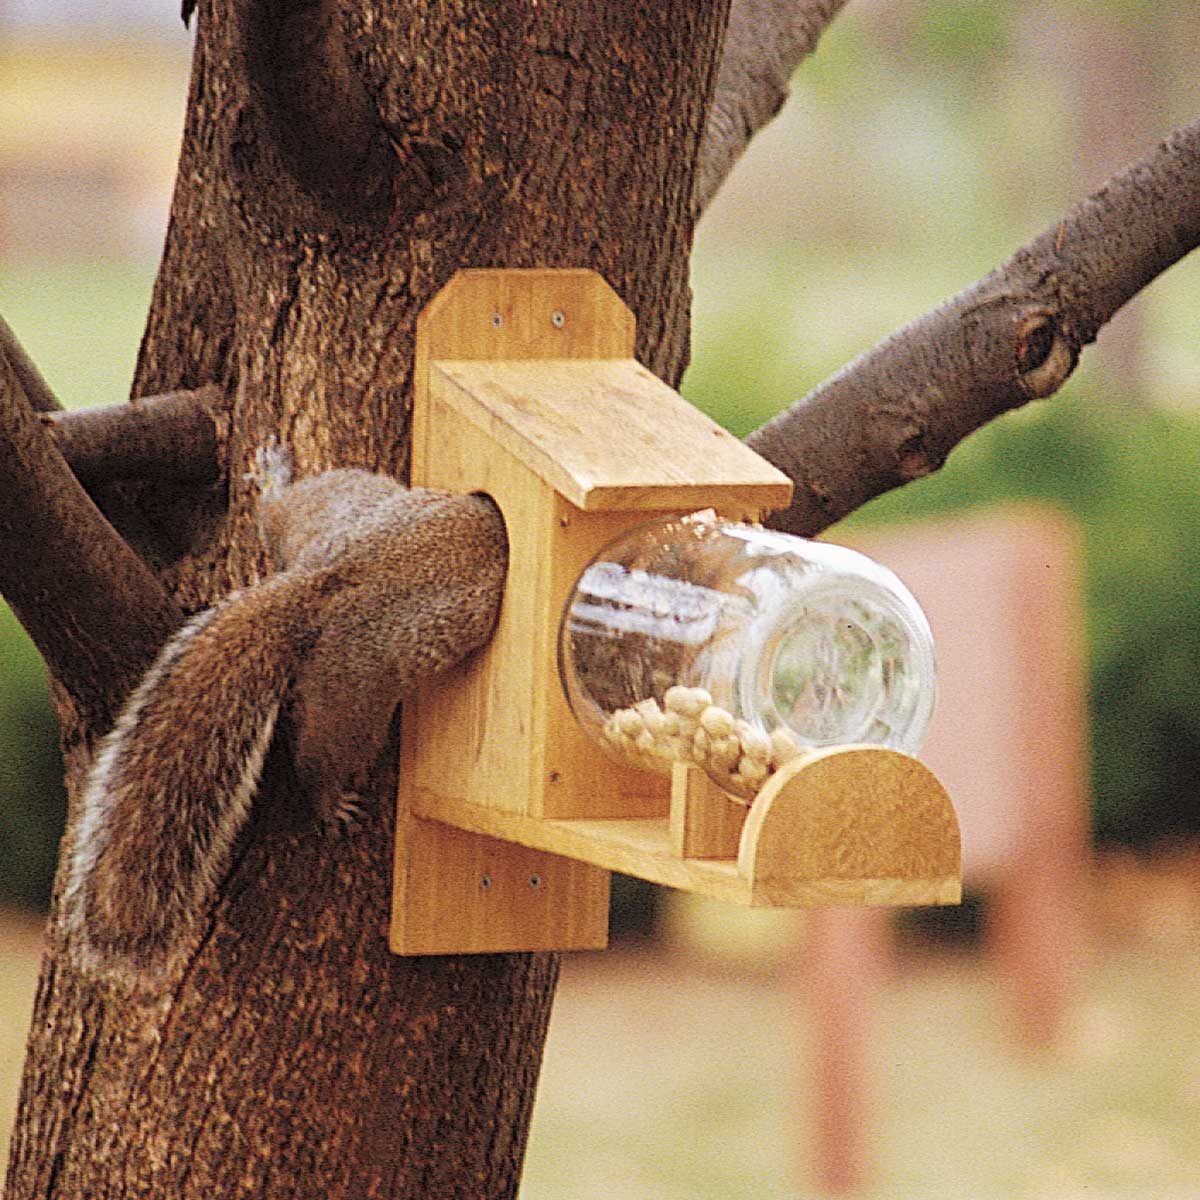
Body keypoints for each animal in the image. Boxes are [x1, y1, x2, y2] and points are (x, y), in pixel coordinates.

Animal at [61, 445, 508, 987]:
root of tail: (318, 581)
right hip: (352, 694)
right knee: (320, 756)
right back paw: (329, 803)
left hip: (339, 498)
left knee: (276, 516)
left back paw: (272, 482)